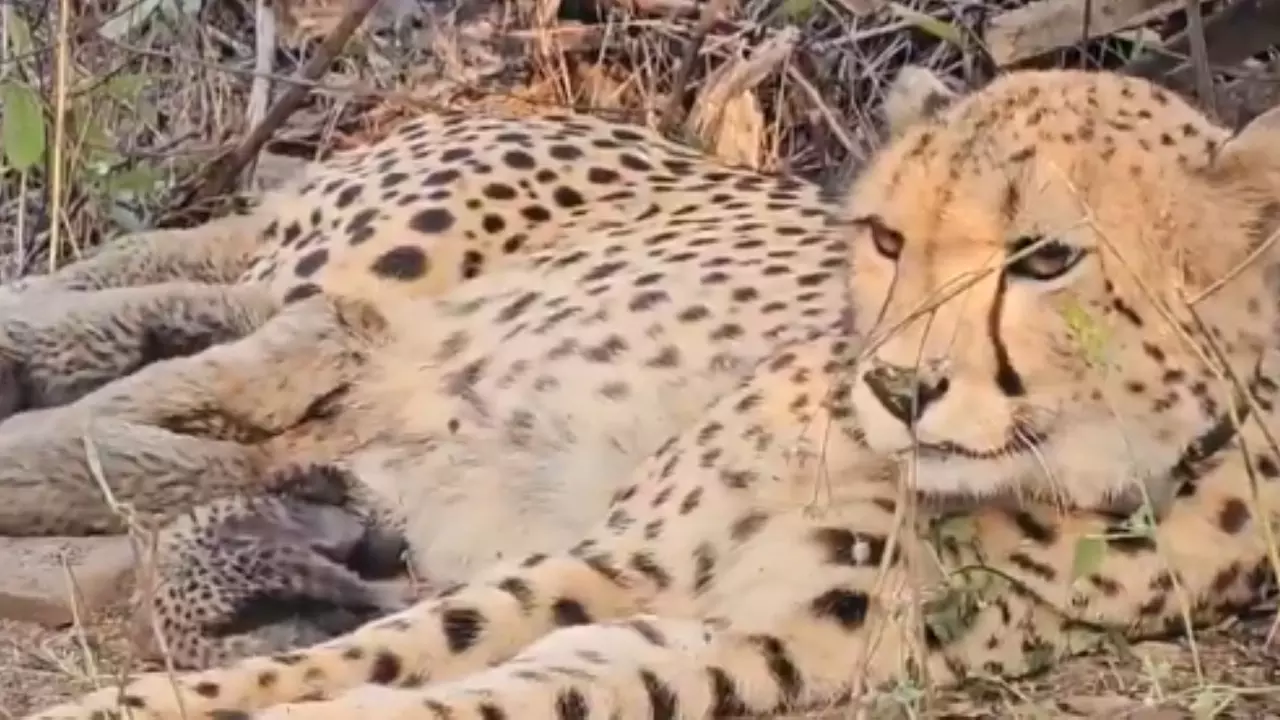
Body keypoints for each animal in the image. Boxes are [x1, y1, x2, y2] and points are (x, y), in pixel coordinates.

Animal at [20, 64, 1280, 720]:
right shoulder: (617, 560)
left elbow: (450, 691)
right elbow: (369, 653)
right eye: (885, 238)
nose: (894, 384)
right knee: (203, 328)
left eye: (1046, 258)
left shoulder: (720, 641)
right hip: (377, 265)